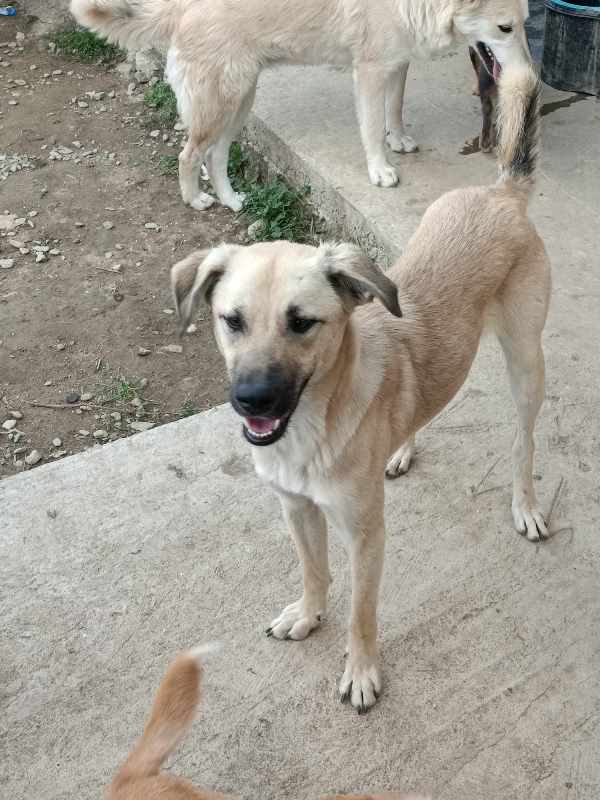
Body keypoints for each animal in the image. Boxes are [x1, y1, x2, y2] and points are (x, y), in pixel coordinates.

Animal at [71, 0, 536, 209]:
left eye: (526, 25)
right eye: (505, 28)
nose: (531, 77)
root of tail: (181, 7)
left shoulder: (396, 64)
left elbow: (395, 108)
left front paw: (399, 139)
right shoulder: (369, 72)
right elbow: (371, 128)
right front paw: (380, 168)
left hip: (240, 103)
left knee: (215, 156)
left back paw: (232, 199)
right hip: (221, 105)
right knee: (188, 155)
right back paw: (196, 199)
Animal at [169, 62, 548, 712]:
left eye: (302, 322)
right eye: (231, 320)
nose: (251, 401)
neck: (313, 429)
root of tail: (501, 194)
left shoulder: (366, 534)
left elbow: (361, 613)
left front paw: (362, 671)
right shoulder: (296, 509)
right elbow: (312, 571)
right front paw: (307, 614)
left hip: (526, 362)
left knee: (523, 445)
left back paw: (524, 506)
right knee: (424, 403)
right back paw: (401, 449)